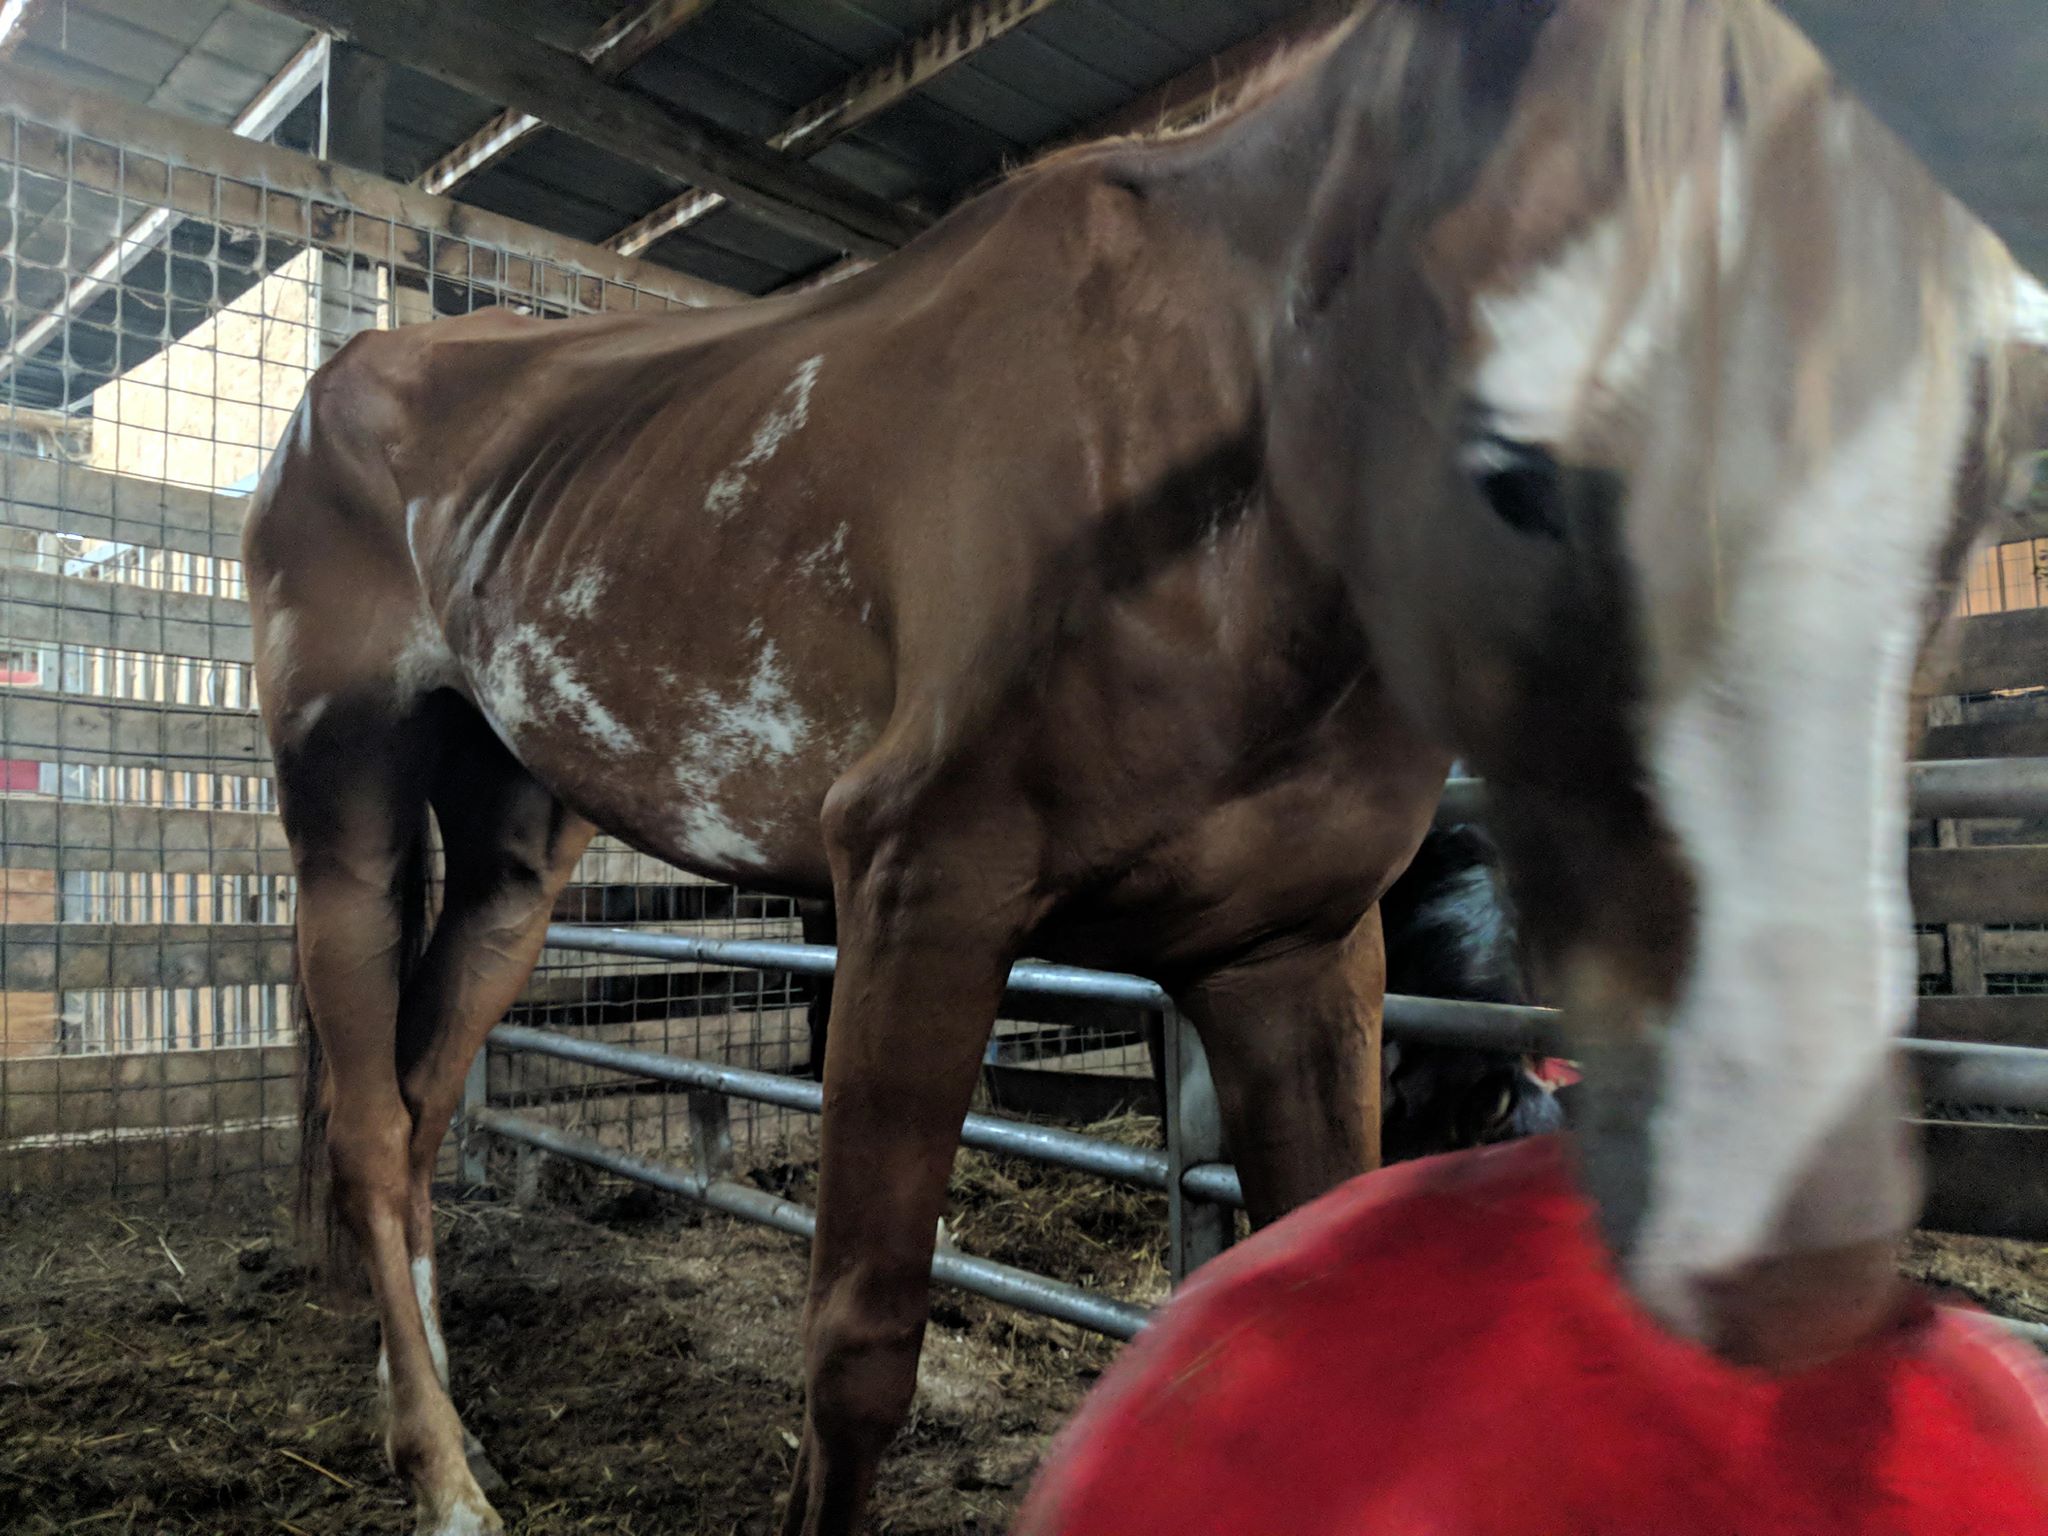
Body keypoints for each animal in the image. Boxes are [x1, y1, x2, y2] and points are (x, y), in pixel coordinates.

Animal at [242, 2, 2039, 1531]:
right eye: (1524, 460)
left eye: (1963, 488)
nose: (1802, 1247)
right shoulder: (920, 896)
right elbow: (858, 1344)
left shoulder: (1290, 956)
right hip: (341, 807)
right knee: (370, 1123)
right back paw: (445, 1482)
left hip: (511, 847)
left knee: (414, 1107)